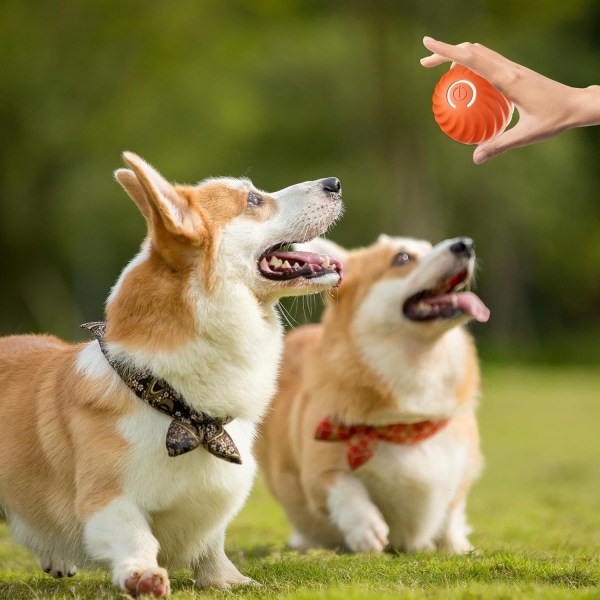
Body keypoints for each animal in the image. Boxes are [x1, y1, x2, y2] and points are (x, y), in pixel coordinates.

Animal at [0, 154, 342, 596]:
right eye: (253, 199)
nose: (335, 183)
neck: (177, 405)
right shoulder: (105, 498)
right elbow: (136, 534)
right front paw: (143, 576)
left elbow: (212, 543)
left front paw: (227, 579)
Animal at [256, 234, 488, 552]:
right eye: (402, 258)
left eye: (429, 248)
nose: (465, 244)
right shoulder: (319, 472)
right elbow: (344, 488)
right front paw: (366, 529)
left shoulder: (461, 470)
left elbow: (452, 511)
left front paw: (457, 547)